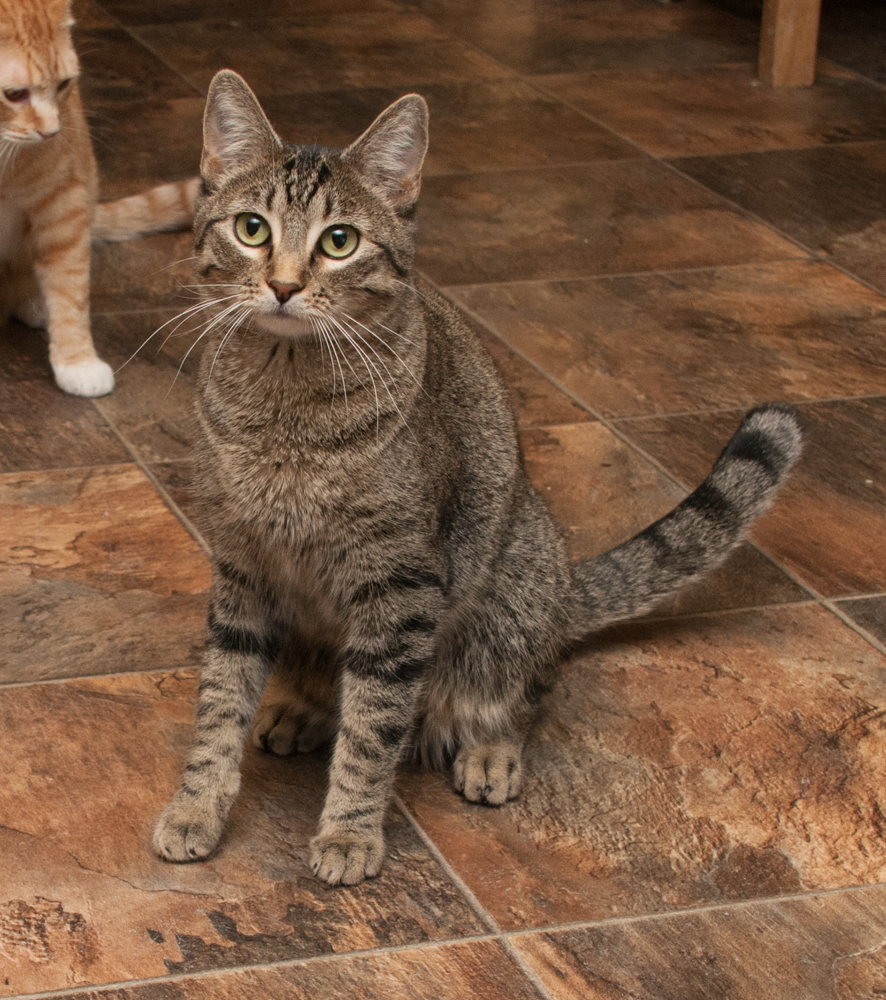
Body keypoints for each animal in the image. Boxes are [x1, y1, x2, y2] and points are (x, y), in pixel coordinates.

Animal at [0, 0, 198, 398]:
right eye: (14, 95)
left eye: (64, 85)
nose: (51, 132)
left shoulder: (64, 201)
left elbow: (70, 286)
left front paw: (77, 361)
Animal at [153, 70, 804, 884]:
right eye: (251, 229)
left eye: (339, 242)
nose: (282, 285)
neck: (285, 404)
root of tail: (563, 587)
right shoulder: (244, 567)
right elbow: (220, 704)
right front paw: (197, 806)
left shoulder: (401, 588)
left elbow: (372, 732)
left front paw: (349, 833)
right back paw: (300, 707)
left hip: (510, 590)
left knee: (526, 689)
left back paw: (490, 750)